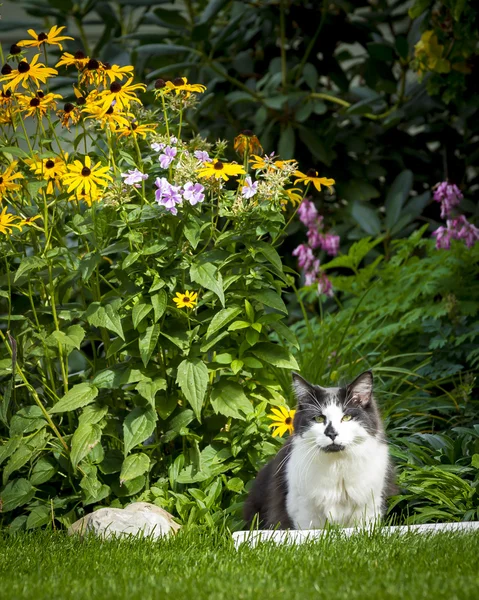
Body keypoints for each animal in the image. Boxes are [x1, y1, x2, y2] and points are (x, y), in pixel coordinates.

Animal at [246, 370, 396, 528]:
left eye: (346, 417)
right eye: (319, 419)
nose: (331, 433)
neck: (337, 466)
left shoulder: (368, 509)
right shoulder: (306, 513)